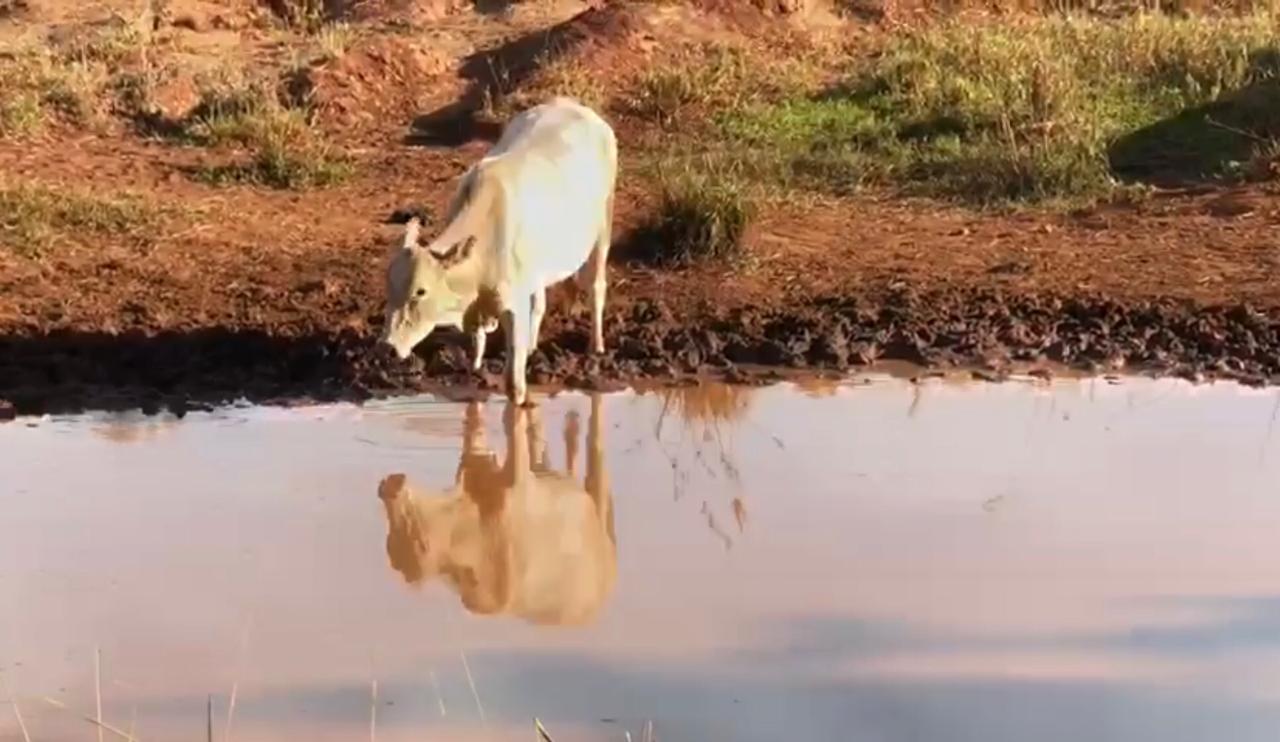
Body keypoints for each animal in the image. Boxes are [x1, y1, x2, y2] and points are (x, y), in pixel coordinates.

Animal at [373, 394, 614, 626]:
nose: (385, 487)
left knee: (595, 438)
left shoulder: (517, 479)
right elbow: (476, 421)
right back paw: (570, 423)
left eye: (414, 541)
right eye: (389, 545)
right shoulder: (474, 461)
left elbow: (512, 422)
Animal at [376, 97, 616, 406]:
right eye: (389, 288)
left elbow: (514, 384)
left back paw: (596, 346)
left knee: (596, 286)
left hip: (603, 228)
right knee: (540, 303)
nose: (387, 347)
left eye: (420, 291)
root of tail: (574, 106)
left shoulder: (512, 307)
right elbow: (477, 347)